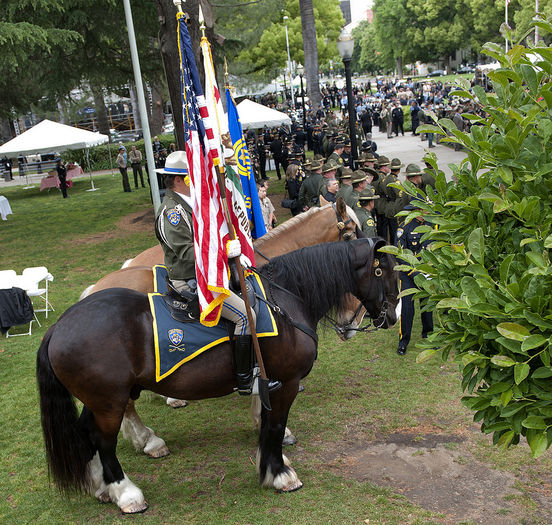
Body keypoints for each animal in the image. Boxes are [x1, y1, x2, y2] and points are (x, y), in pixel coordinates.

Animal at [37, 237, 396, 512]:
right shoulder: (286, 383)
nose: (391, 316)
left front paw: (271, 465)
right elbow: (275, 426)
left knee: (88, 433)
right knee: (104, 441)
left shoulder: (269, 383)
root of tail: (61, 325)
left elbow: (268, 425)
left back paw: (101, 486)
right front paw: (280, 474)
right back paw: (126, 492)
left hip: (100, 401)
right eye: (385, 271)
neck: (285, 300)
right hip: (109, 402)